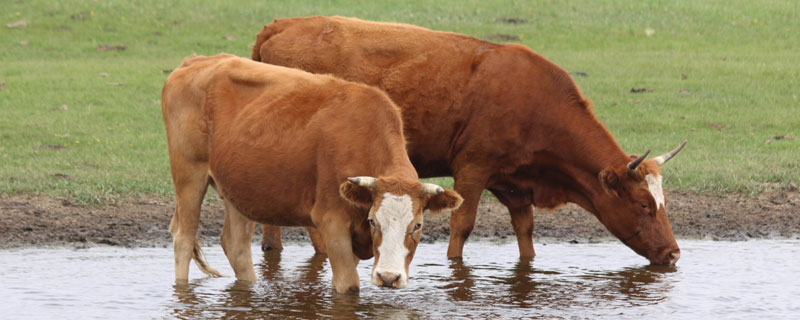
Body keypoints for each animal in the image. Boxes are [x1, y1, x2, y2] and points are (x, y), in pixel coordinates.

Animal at [161, 53, 462, 294]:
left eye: (418, 225)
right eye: (373, 221)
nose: (388, 277)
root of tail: (196, 61)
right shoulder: (332, 222)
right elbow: (348, 287)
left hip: (236, 188)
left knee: (236, 245)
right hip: (189, 174)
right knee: (183, 239)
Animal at [253, 16, 684, 264]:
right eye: (644, 205)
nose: (674, 252)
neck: (536, 101)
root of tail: (282, 24)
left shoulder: (515, 184)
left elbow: (525, 233)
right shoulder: (473, 169)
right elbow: (462, 225)